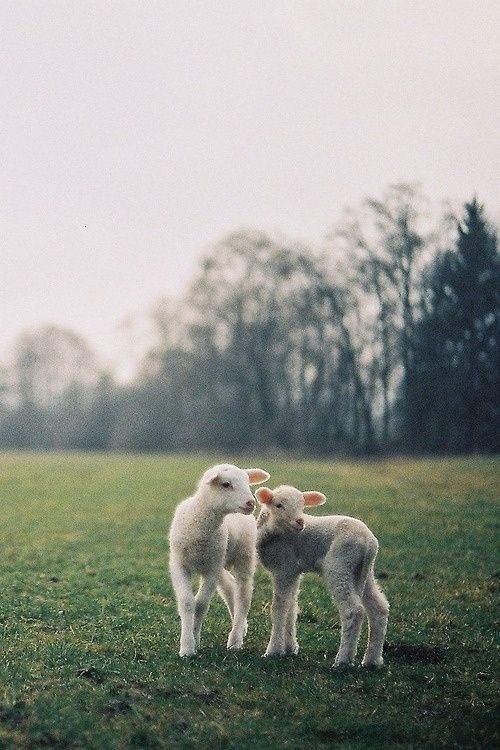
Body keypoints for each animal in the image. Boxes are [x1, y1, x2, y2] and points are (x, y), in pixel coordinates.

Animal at [168, 464, 270, 656]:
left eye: (247, 482)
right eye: (226, 484)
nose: (251, 503)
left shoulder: (211, 569)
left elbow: (200, 604)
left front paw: (194, 639)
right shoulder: (180, 565)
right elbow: (187, 603)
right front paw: (187, 646)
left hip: (242, 556)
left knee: (243, 596)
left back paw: (235, 640)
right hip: (220, 560)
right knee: (230, 587)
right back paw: (242, 628)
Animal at [256, 488, 388, 668]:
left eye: (302, 506)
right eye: (279, 505)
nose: (300, 522)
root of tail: (369, 543)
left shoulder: (284, 568)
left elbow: (279, 607)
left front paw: (273, 650)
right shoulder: (293, 571)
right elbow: (291, 607)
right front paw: (290, 648)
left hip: (340, 566)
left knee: (353, 610)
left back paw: (342, 661)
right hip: (363, 572)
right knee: (379, 608)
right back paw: (371, 660)